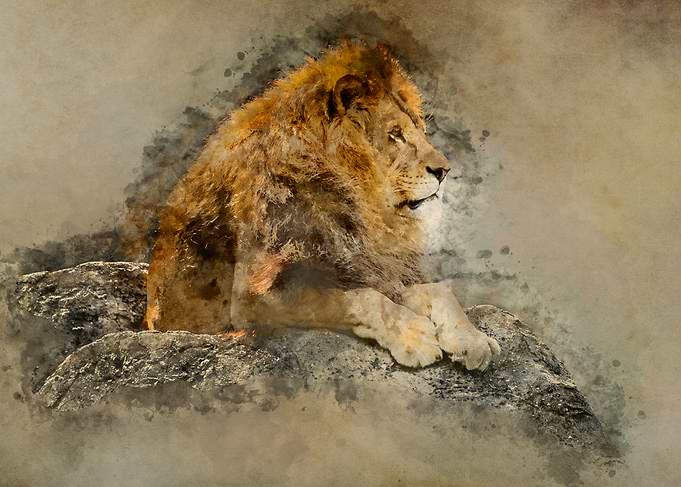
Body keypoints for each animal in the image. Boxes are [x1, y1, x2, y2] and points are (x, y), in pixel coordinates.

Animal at [145, 42, 500, 370]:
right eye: (395, 134)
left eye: (418, 131)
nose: (444, 170)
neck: (360, 206)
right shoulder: (252, 297)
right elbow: (361, 300)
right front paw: (415, 337)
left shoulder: (372, 268)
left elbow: (439, 291)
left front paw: (472, 339)